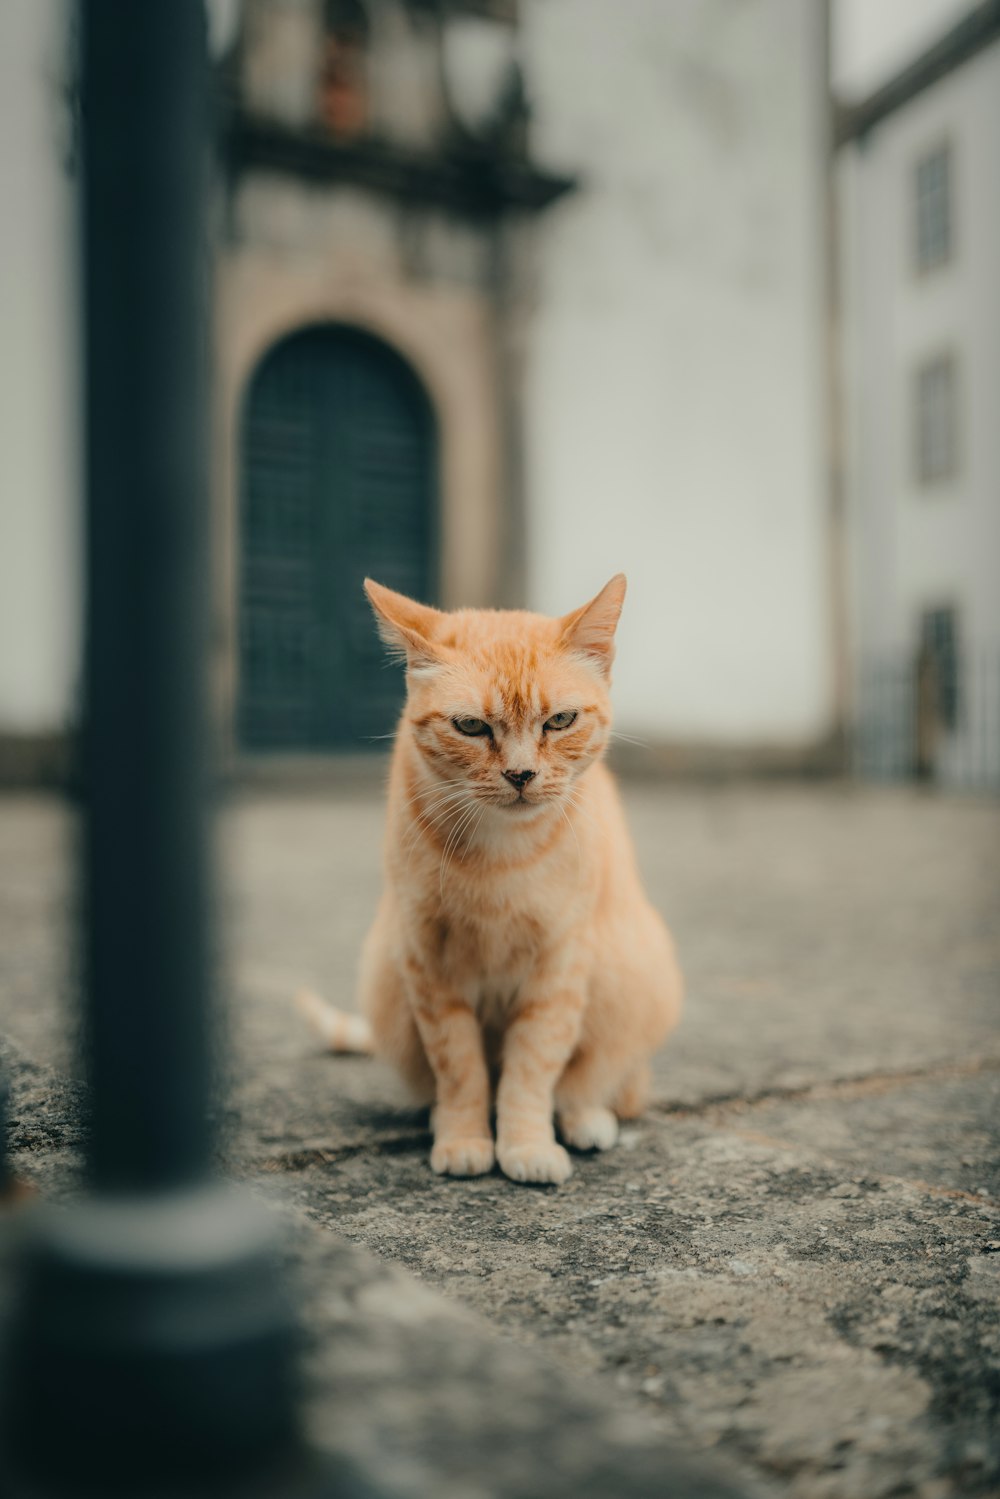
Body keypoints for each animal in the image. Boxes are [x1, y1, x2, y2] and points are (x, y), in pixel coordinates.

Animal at [301, 575, 683, 1181]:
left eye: (560, 721)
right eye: (471, 726)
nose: (521, 774)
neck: (502, 854)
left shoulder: (559, 968)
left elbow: (533, 1069)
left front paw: (525, 1144)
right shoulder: (429, 963)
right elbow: (460, 1069)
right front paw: (464, 1135)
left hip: (633, 977)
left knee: (607, 1083)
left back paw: (585, 1118)